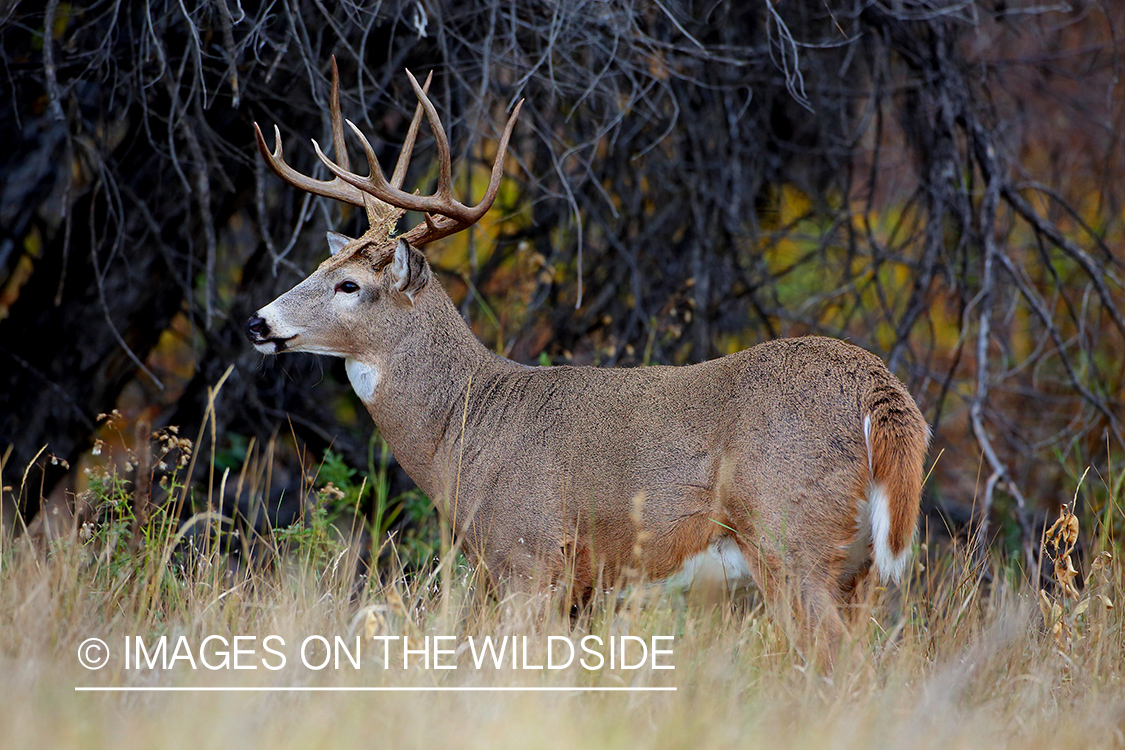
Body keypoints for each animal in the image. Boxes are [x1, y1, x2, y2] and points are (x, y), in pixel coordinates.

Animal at [246, 58, 930, 661]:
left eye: (349, 285)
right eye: (321, 265)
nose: (259, 322)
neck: (464, 430)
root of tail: (878, 389)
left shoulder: (528, 552)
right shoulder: (581, 588)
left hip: (790, 535)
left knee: (841, 659)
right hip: (857, 567)